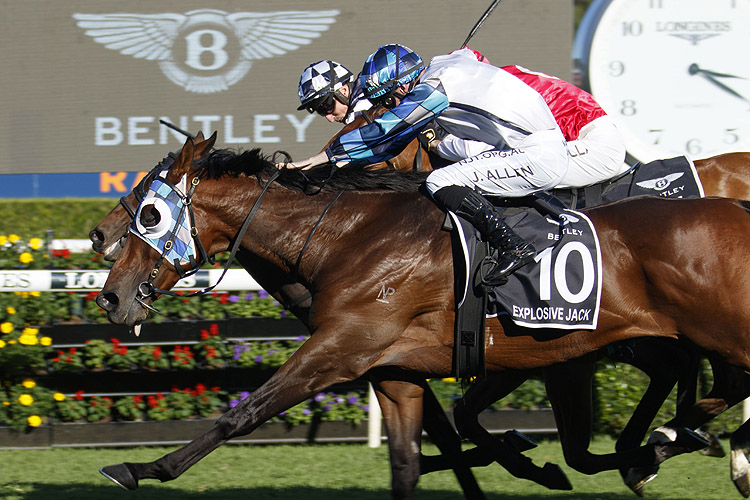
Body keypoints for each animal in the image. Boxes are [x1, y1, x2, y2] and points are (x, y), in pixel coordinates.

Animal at [95, 136, 750, 496]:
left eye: (149, 212)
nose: (111, 294)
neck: (348, 236)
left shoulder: (342, 347)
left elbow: (243, 413)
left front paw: (140, 467)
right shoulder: (397, 371)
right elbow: (412, 461)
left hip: (720, 332)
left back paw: (685, 442)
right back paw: (678, 441)